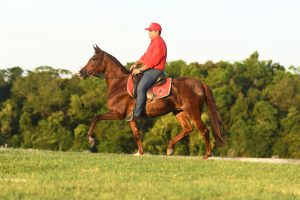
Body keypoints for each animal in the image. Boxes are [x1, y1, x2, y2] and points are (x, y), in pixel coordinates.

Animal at [78, 44, 224, 159]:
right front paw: (140, 152)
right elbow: (136, 133)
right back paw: (170, 147)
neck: (119, 83)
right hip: (178, 111)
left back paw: (207, 155)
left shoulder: (118, 113)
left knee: (204, 130)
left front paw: (91, 139)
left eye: (94, 59)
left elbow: (96, 117)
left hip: (193, 112)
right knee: (187, 128)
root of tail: (199, 83)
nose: (81, 72)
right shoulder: (130, 117)